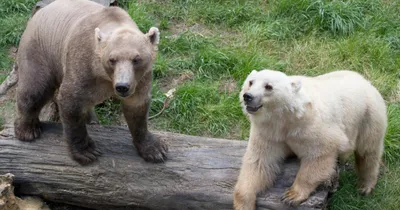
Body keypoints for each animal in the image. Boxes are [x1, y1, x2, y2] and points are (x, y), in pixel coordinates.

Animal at [14, 0, 167, 165]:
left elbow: (137, 108)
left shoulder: (141, 79)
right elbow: (71, 102)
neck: (104, 76)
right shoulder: (83, 65)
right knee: (35, 89)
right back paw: (27, 129)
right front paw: (87, 151)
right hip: (40, 49)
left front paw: (155, 149)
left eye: (136, 59)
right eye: (112, 59)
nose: (122, 87)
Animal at [234, 69, 388, 209]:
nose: (248, 96)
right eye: (251, 82)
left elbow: (319, 156)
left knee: (368, 151)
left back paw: (365, 186)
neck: (285, 118)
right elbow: (259, 162)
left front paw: (292, 195)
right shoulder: (268, 133)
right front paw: (244, 202)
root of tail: (365, 81)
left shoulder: (311, 128)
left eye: (268, 86)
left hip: (368, 115)